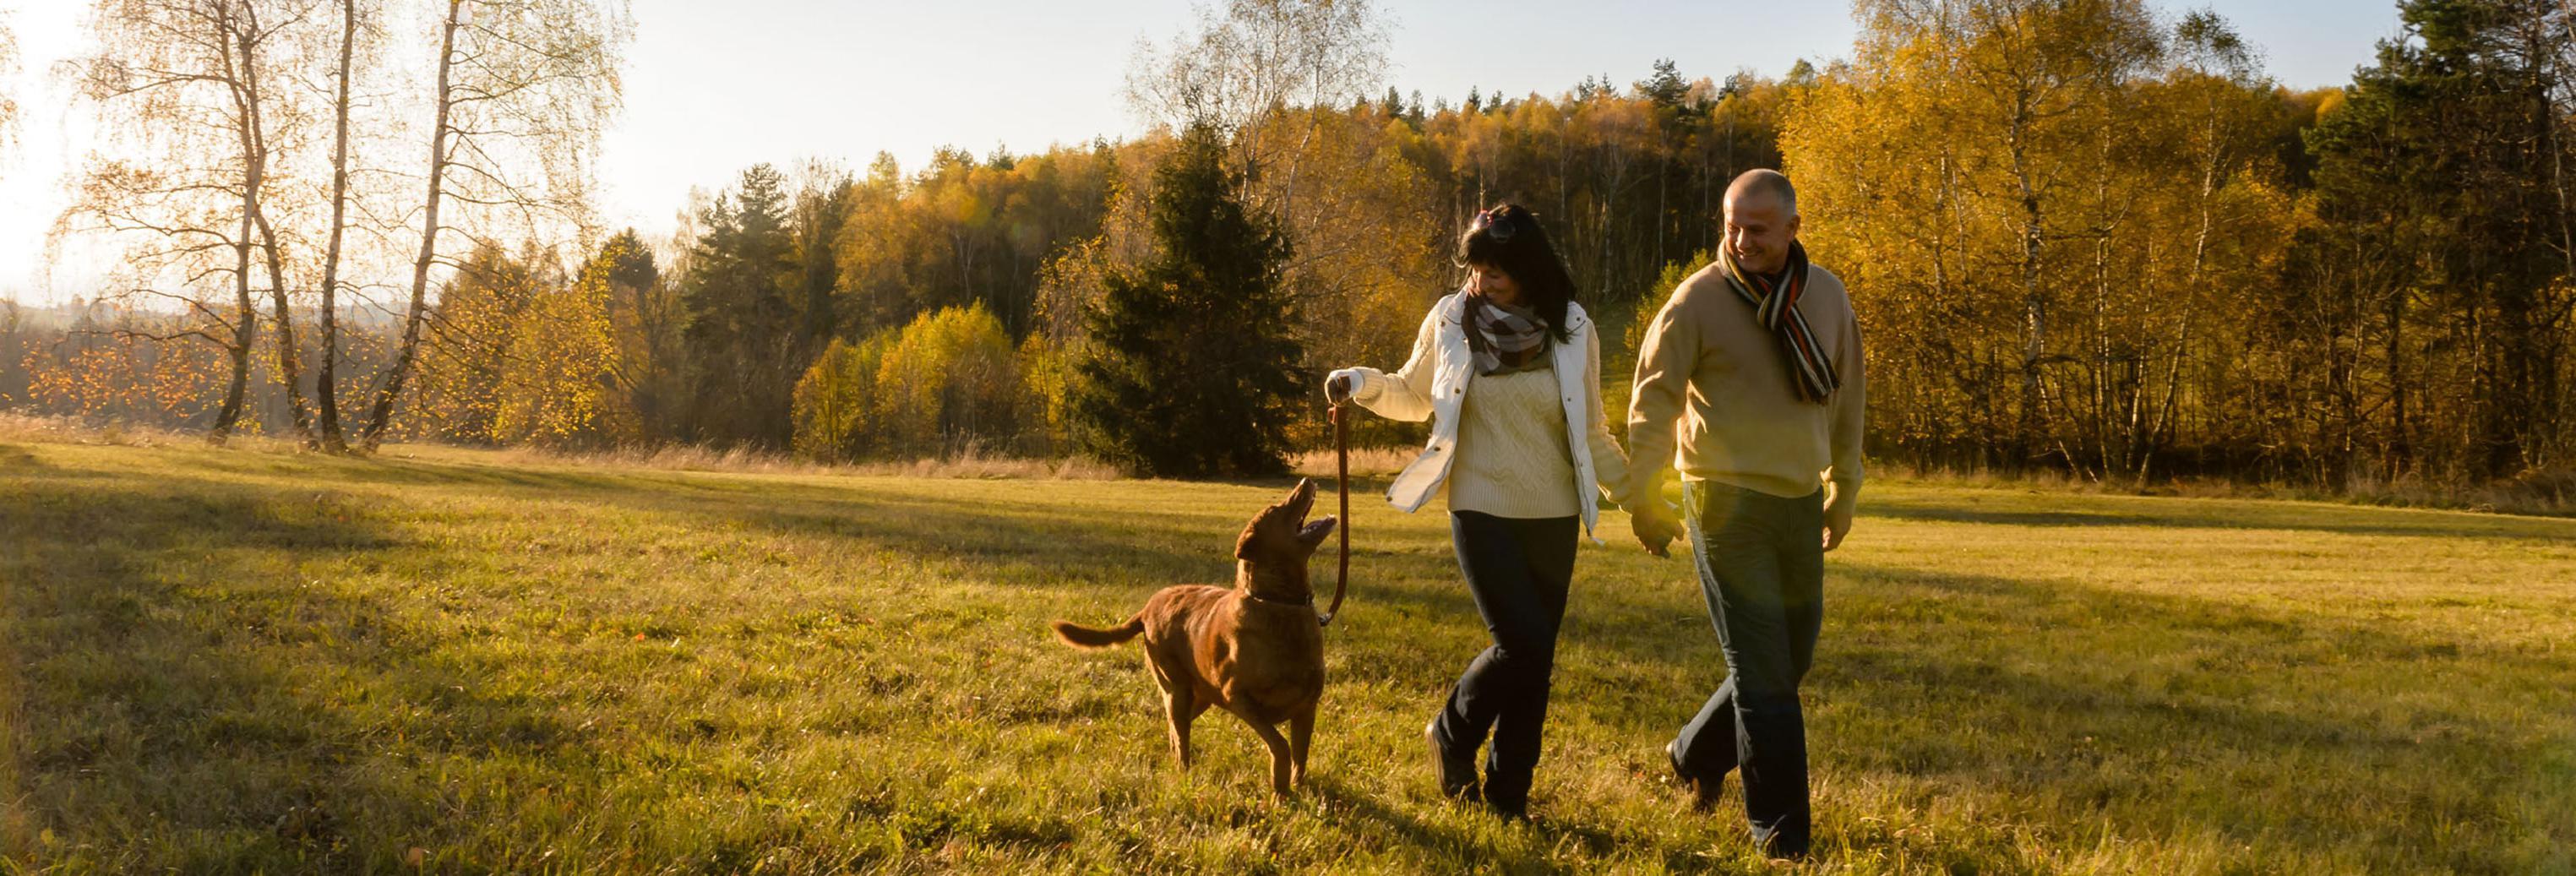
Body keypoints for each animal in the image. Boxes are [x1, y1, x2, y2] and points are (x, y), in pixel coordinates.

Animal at [1045, 479, 1339, 793]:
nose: (1305, 481)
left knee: (1175, 730)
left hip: (1199, 695)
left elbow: (1301, 755)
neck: (1278, 602)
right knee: (1179, 733)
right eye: (1277, 509)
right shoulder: (1238, 698)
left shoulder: (1307, 707)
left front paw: (1296, 790)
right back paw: (1182, 773)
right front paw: (1281, 790)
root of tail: (1147, 608)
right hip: (1177, 688)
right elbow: (1281, 746)